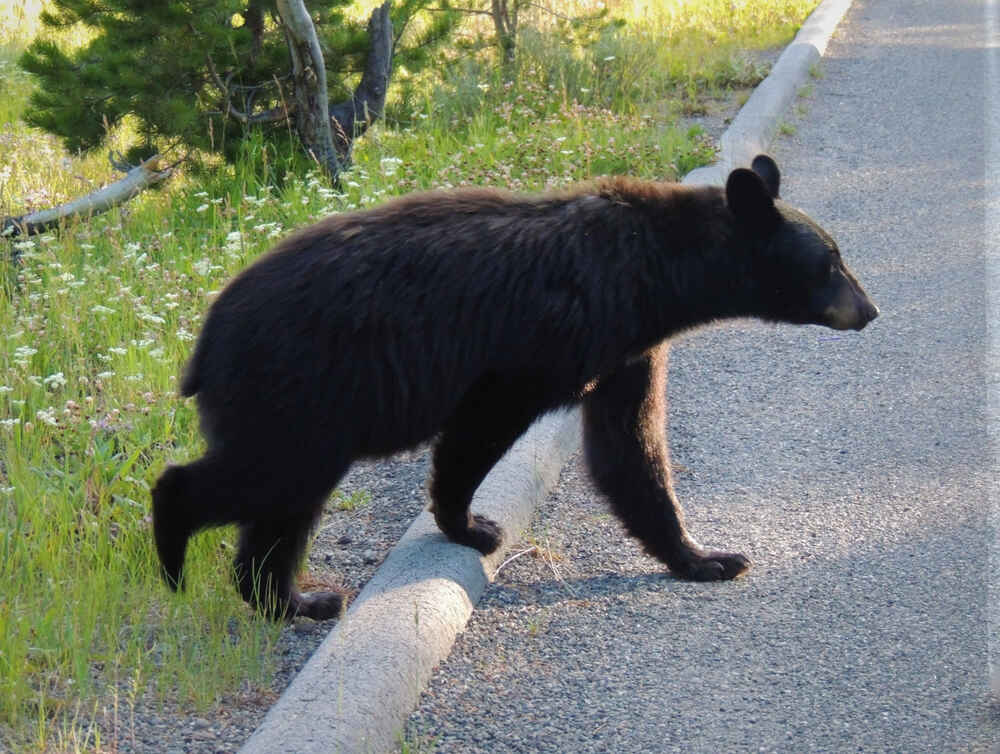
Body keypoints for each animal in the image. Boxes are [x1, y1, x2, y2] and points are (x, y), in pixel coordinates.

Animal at [152, 154, 878, 621]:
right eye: (831, 261)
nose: (870, 310)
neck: (653, 271)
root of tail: (205, 338)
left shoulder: (626, 348)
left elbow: (629, 447)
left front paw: (705, 557)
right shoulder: (548, 337)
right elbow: (483, 424)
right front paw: (470, 525)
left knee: (280, 510)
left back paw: (298, 600)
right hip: (304, 389)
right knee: (262, 479)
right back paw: (175, 553)